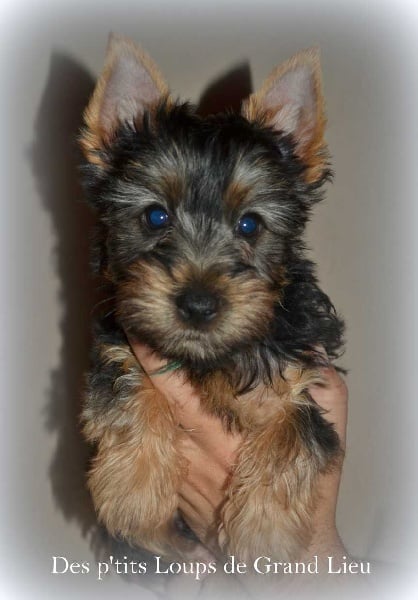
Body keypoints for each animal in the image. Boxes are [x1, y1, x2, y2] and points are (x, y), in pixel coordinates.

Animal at [79, 34, 344, 563]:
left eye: (250, 224)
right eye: (155, 217)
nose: (198, 305)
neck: (211, 358)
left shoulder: (301, 372)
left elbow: (293, 427)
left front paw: (265, 533)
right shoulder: (121, 338)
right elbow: (130, 384)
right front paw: (135, 495)